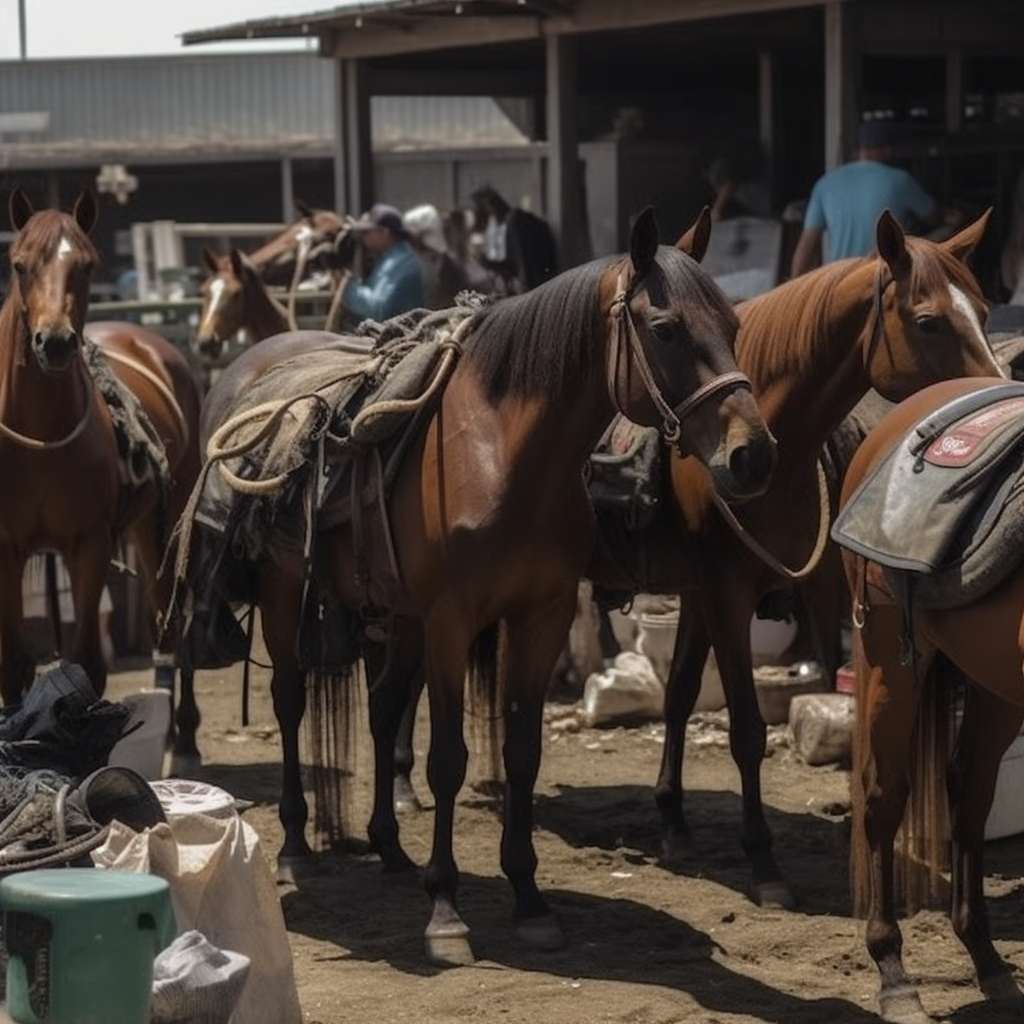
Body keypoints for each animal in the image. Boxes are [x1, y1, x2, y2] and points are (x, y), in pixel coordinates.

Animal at [0, 184, 201, 708]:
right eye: (19, 265)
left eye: (87, 266)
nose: (54, 342)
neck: (41, 437)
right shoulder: (5, 547)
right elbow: (13, 668)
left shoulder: (88, 544)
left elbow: (87, 662)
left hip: (166, 519)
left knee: (170, 621)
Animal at [184, 205, 774, 958]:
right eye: (666, 328)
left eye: (730, 326)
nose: (753, 456)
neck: (503, 452)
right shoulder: (450, 621)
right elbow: (448, 759)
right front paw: (445, 909)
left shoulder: (541, 616)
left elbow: (520, 753)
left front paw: (527, 896)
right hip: (287, 592)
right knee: (290, 703)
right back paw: (295, 844)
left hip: (395, 615)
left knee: (381, 711)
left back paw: (389, 848)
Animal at [585, 205, 999, 905]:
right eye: (928, 321)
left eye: (987, 312)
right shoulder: (725, 595)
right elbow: (748, 731)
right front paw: (763, 862)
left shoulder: (724, 592)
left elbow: (683, 694)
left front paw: (674, 822)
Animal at [831, 376, 1024, 1024]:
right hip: (888, 657)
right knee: (883, 798)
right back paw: (894, 975)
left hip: (993, 680)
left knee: (969, 788)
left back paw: (986, 955)